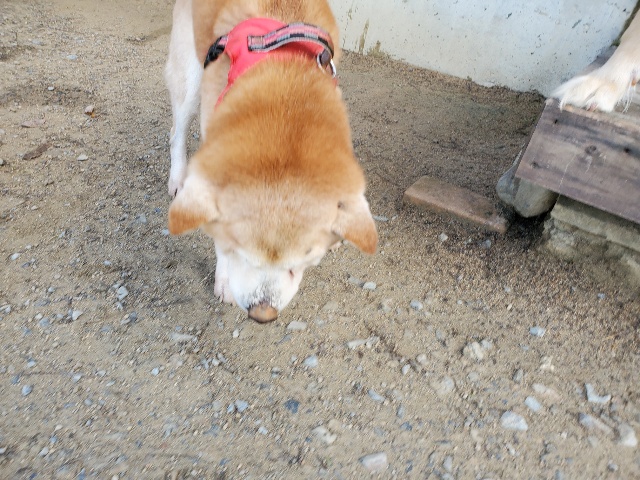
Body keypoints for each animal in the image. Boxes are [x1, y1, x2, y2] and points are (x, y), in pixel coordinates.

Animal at [164, 0, 378, 322]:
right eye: (239, 252)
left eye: (304, 260)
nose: (262, 315)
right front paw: (224, 281)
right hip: (189, 75)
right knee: (177, 131)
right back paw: (177, 178)